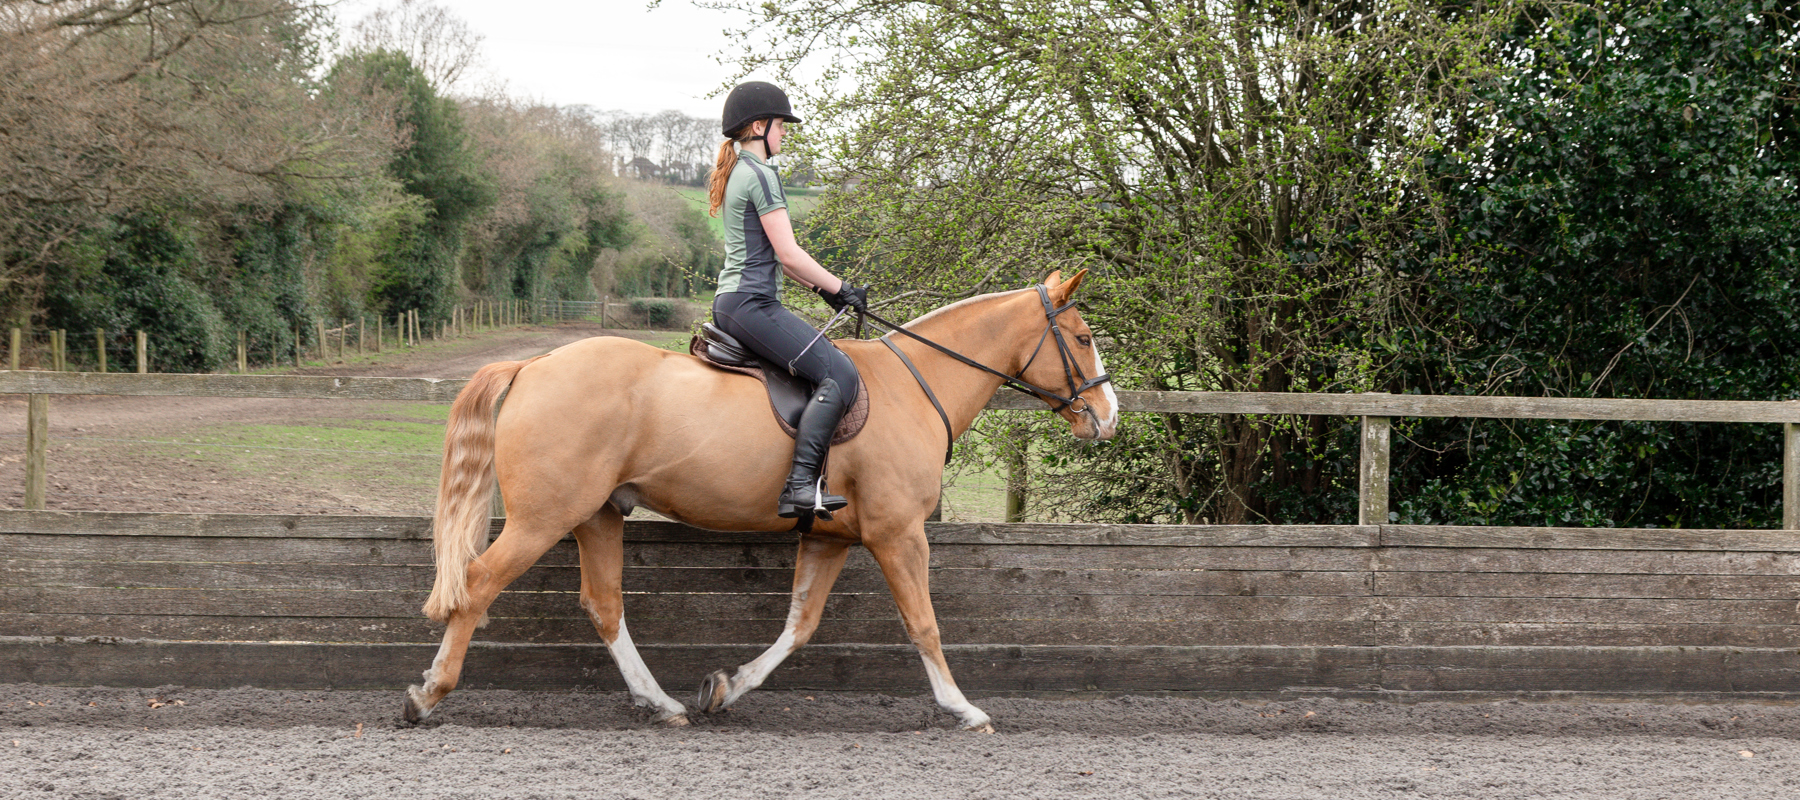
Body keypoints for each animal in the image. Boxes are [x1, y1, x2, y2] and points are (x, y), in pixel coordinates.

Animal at [403, 269, 1118, 732]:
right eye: (1084, 339)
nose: (1107, 417)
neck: (916, 386)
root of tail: (533, 365)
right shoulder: (897, 533)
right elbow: (923, 623)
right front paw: (963, 709)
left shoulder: (829, 538)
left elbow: (800, 625)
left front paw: (726, 689)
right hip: (544, 518)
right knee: (478, 582)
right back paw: (429, 694)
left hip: (598, 514)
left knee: (604, 606)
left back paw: (663, 705)